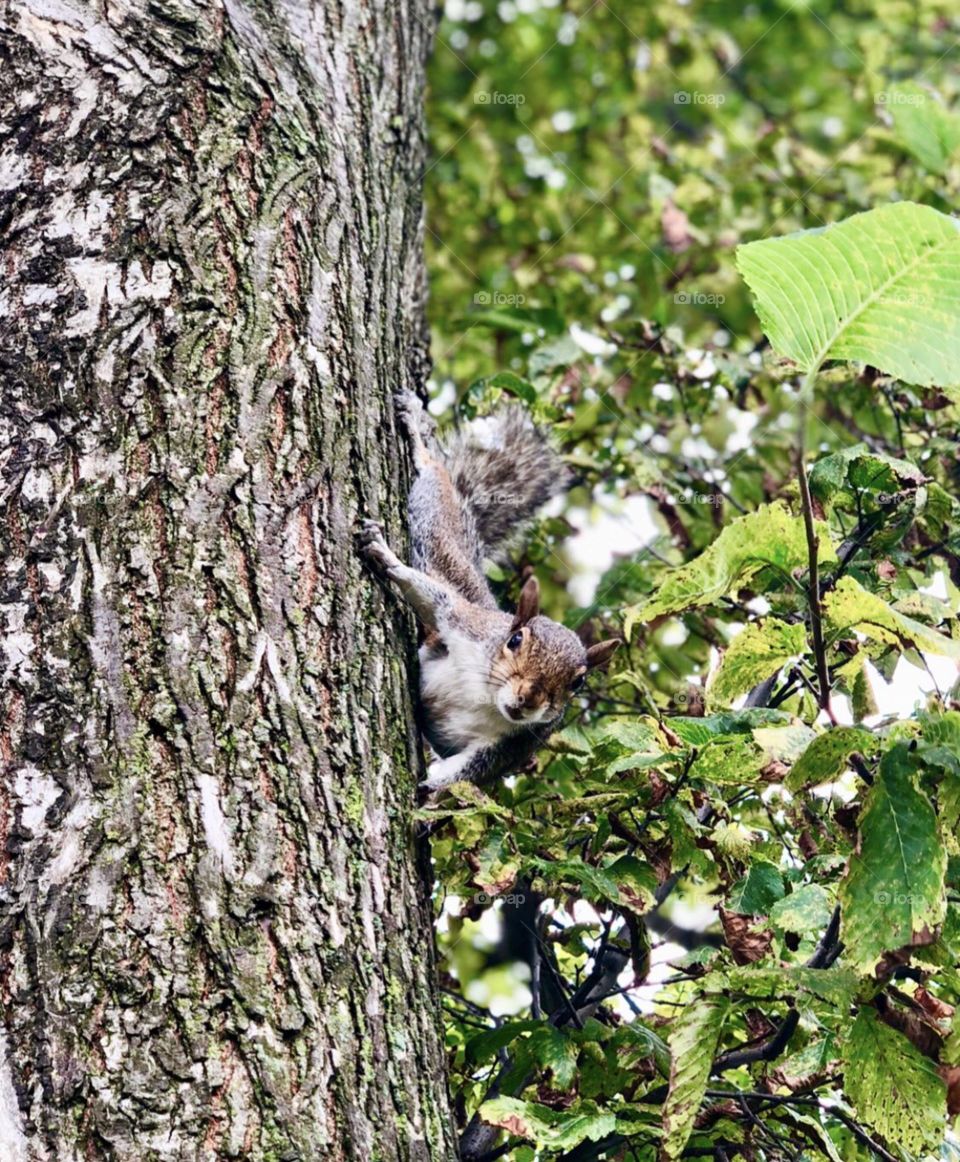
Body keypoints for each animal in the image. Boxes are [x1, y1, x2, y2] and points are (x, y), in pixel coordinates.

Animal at [360, 393, 620, 793]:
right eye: (515, 640)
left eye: (578, 682)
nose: (527, 700)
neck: (488, 694)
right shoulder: (465, 624)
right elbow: (434, 598)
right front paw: (386, 557)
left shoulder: (511, 746)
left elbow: (465, 774)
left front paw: (429, 787)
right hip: (442, 538)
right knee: (437, 488)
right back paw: (419, 437)